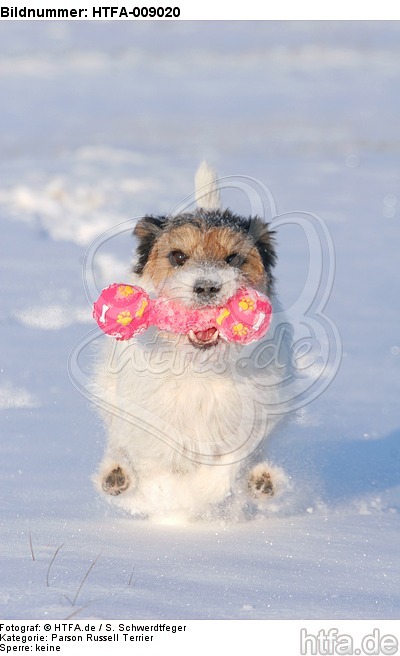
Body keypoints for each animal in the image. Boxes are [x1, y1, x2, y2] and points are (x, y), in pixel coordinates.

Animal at [94, 165, 288, 524]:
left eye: (233, 258)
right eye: (178, 256)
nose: (207, 286)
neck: (199, 369)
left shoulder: (246, 421)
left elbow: (221, 474)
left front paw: (197, 501)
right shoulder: (148, 419)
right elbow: (156, 470)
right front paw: (170, 502)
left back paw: (262, 483)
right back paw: (117, 477)